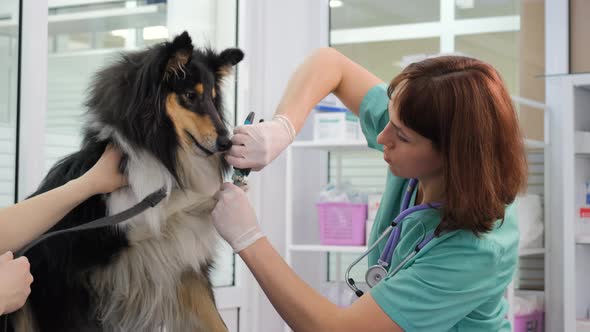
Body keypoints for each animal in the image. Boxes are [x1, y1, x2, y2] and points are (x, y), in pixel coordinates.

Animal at [8, 31, 243, 332]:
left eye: (214, 100)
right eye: (190, 96)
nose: (227, 143)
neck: (164, 160)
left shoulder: (184, 266)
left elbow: (217, 321)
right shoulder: (72, 273)